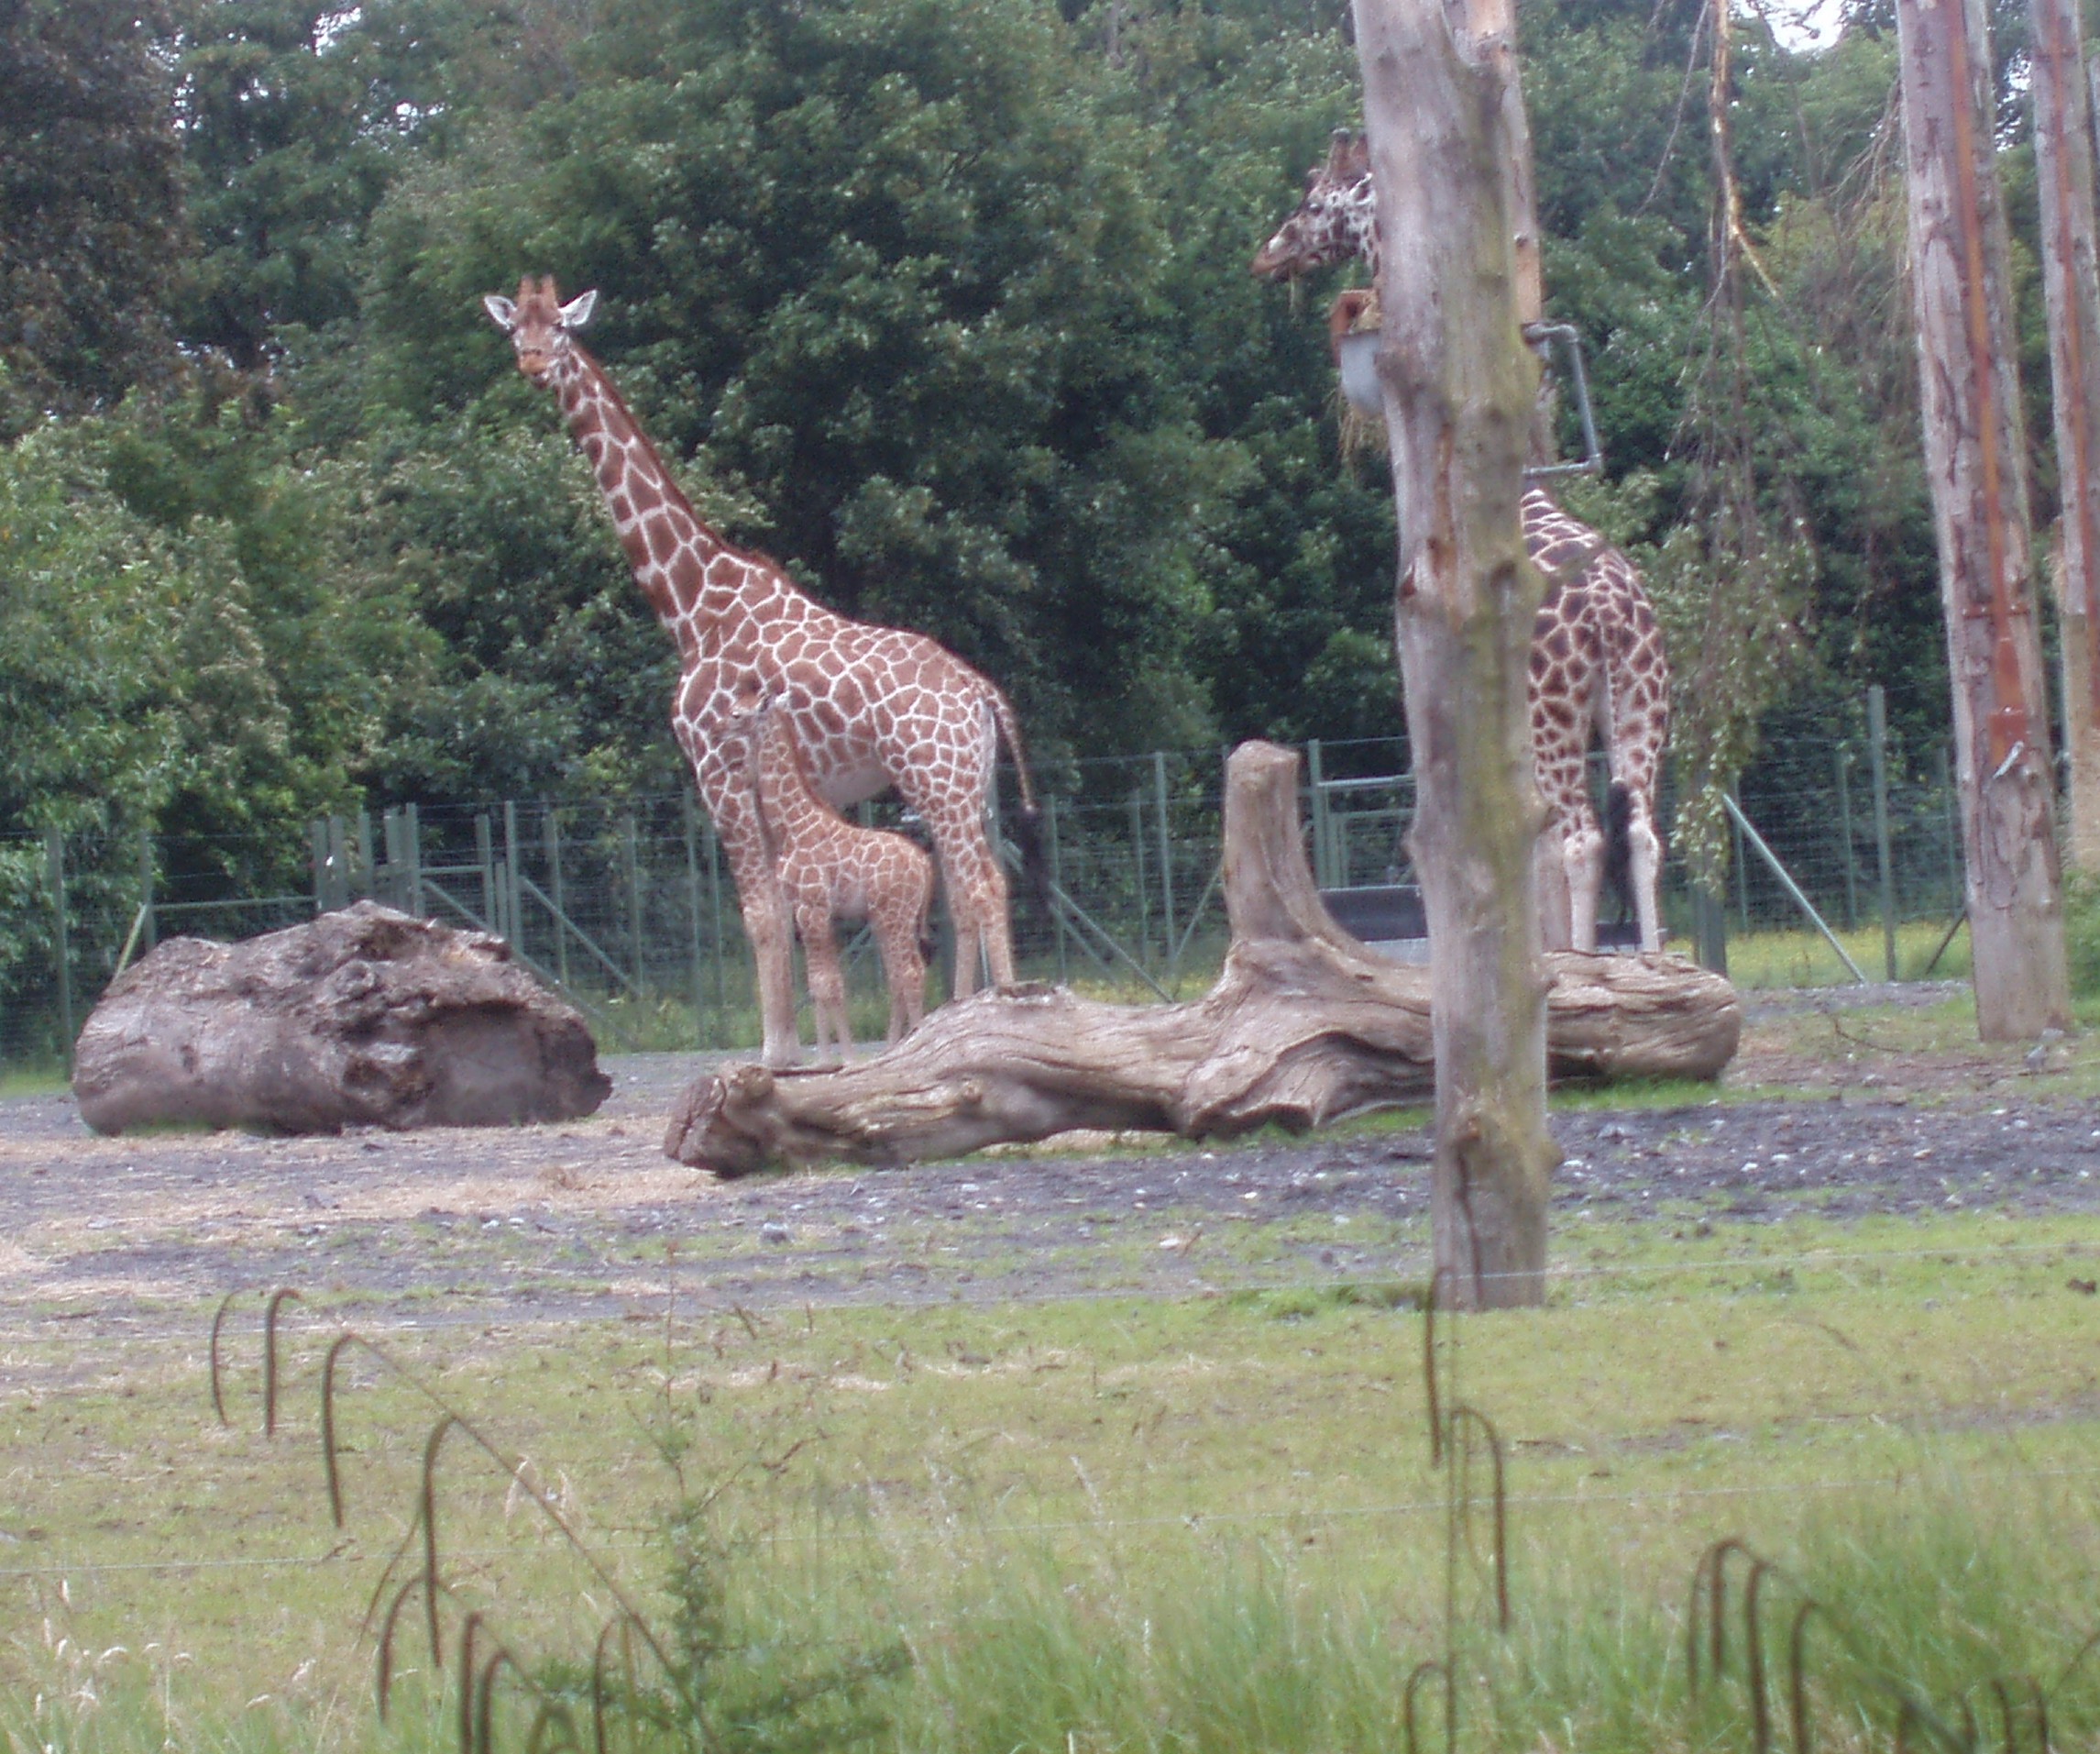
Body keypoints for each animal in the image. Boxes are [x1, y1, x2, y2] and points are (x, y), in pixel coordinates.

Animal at [739, 697, 936, 1054]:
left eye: (751, 709)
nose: (728, 719)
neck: (793, 826)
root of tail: (925, 865)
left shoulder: (813, 907)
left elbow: (825, 982)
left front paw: (845, 1056)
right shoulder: (810, 913)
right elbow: (822, 984)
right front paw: (826, 1058)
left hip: (895, 914)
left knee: (910, 972)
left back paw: (914, 1041)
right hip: (885, 917)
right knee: (898, 976)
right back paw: (892, 1047)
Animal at [1243, 134, 1671, 962]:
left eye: (1311, 204)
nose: (1266, 254)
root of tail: (1611, 615)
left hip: (1554, 714)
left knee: (1581, 836)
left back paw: (1576, 961)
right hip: (1641, 702)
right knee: (1639, 830)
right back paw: (1652, 960)